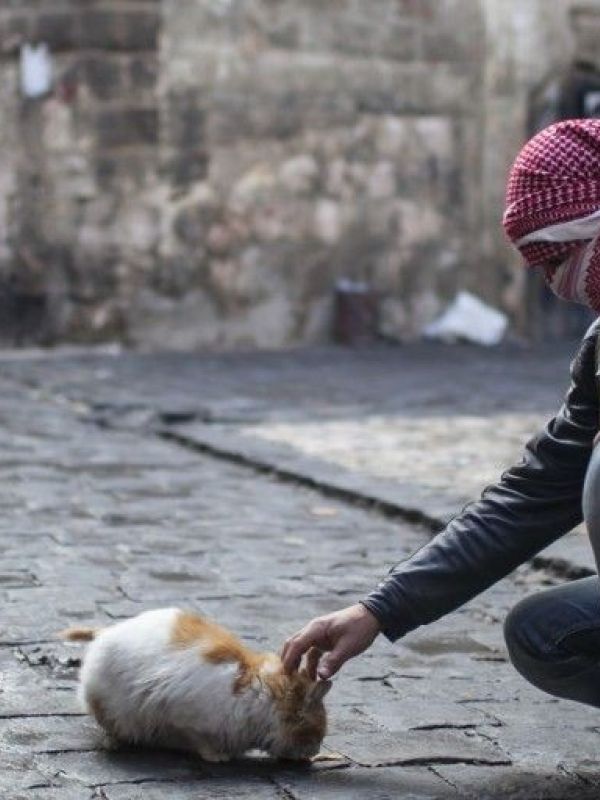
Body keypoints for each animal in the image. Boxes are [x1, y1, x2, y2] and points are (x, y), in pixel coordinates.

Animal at [61, 608, 330, 760]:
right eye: (316, 731)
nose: (314, 753)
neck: (261, 699)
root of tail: (105, 633)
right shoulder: (186, 720)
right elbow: (200, 742)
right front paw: (218, 758)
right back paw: (114, 743)